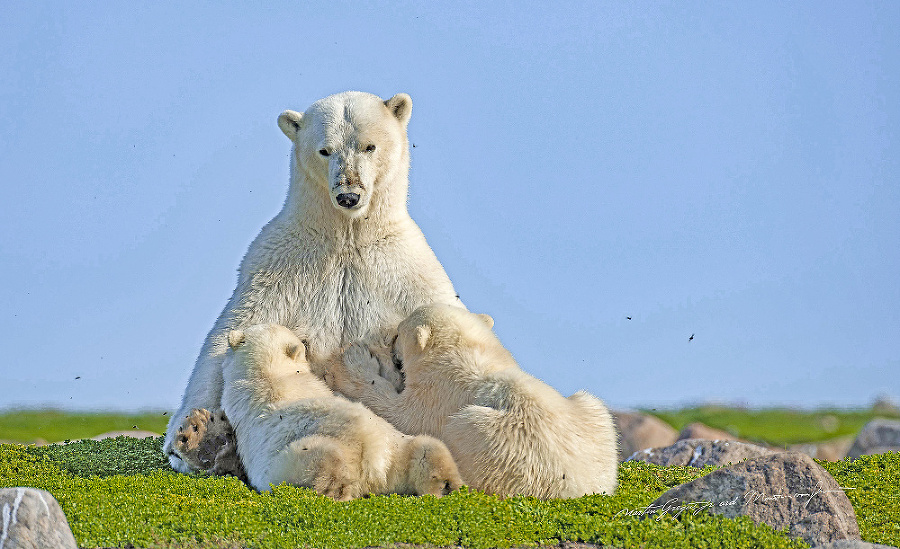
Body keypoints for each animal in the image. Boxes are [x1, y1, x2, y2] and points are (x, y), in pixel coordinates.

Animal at [165, 91, 464, 470]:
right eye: (325, 150)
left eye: (369, 146)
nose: (348, 195)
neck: (346, 237)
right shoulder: (276, 268)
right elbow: (229, 337)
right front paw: (195, 432)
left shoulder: (406, 272)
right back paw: (206, 436)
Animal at [330, 304, 620, 496]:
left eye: (399, 333)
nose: (390, 338)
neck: (465, 352)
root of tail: (578, 489)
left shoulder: (439, 394)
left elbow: (402, 415)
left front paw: (356, 361)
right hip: (593, 415)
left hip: (496, 442)